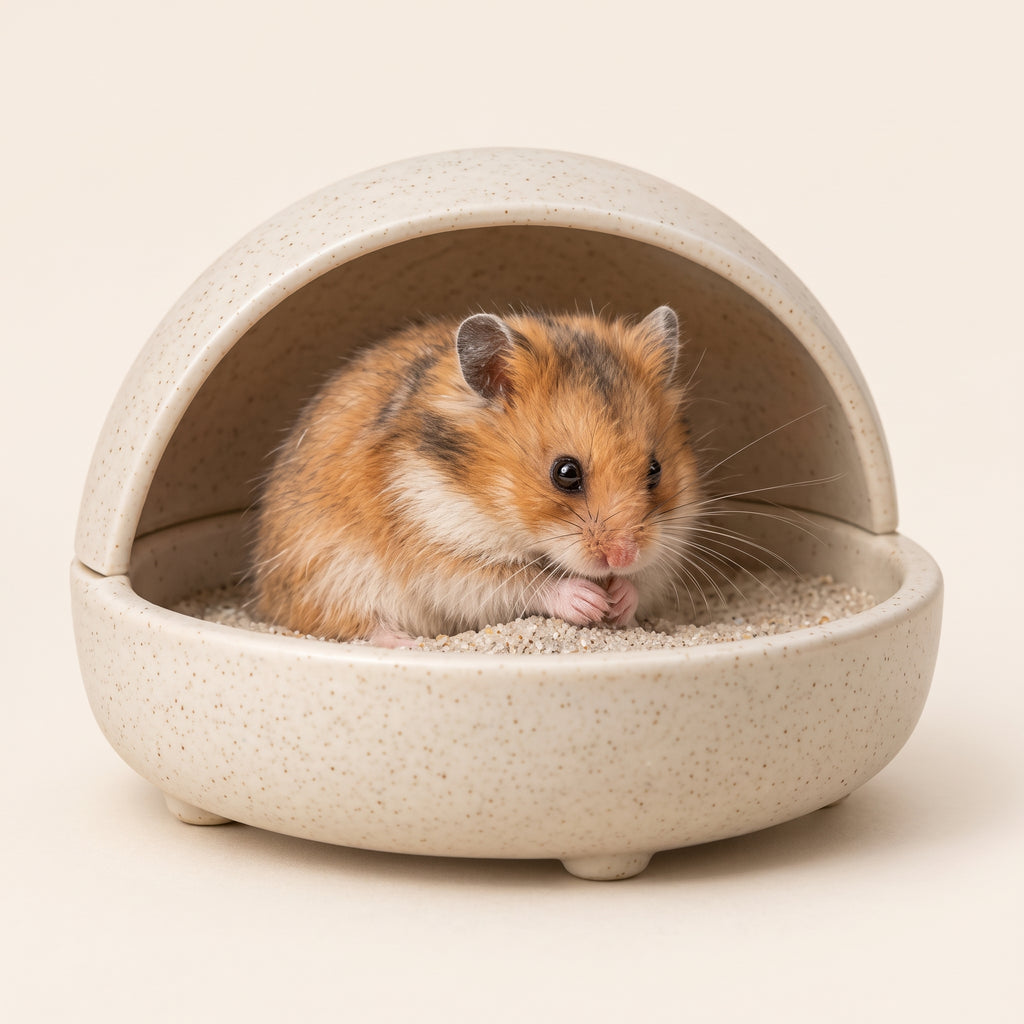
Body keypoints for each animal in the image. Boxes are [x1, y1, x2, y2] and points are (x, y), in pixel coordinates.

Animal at [251, 306, 702, 648]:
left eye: (655, 469)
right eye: (566, 473)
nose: (624, 556)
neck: (487, 498)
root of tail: (267, 597)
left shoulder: (670, 540)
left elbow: (645, 579)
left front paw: (620, 600)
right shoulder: (444, 552)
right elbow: (525, 582)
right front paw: (589, 600)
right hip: (332, 577)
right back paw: (408, 644)